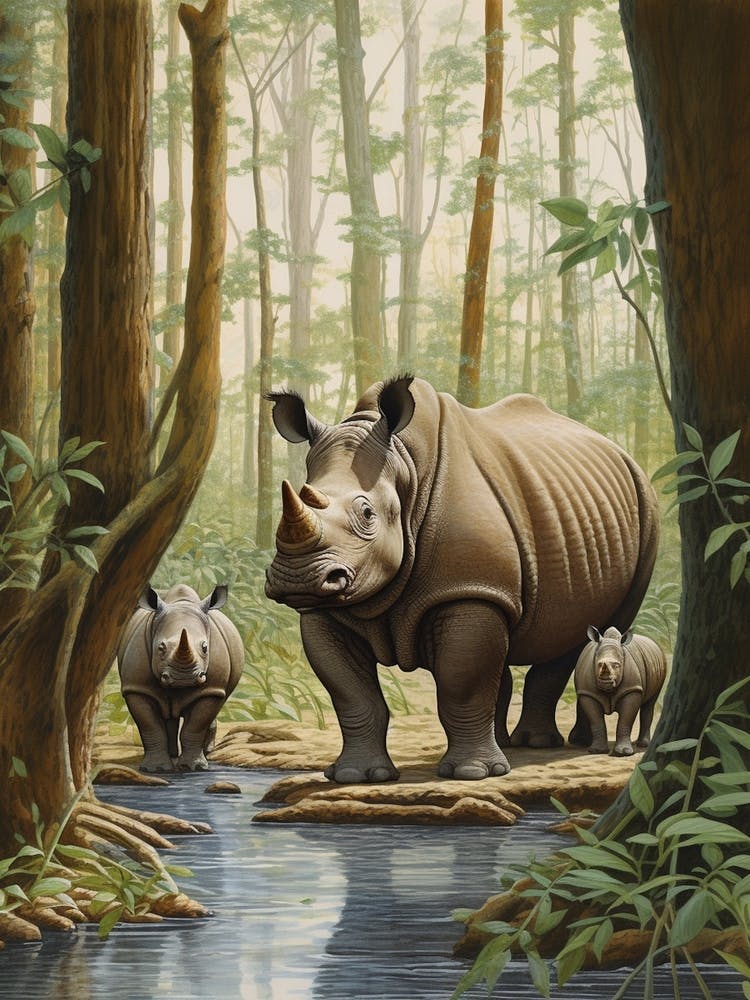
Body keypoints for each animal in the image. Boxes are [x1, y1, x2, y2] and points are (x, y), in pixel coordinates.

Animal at [117, 583, 244, 772]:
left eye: (205, 648)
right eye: (161, 648)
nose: (183, 678)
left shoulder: (211, 689)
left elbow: (195, 726)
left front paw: (195, 767)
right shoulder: (137, 687)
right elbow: (150, 726)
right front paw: (156, 769)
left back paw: (206, 753)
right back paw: (172, 756)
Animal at [574, 625, 667, 757]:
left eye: (617, 665)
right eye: (599, 664)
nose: (605, 681)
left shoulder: (632, 689)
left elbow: (625, 720)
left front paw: (623, 752)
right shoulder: (588, 693)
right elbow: (596, 720)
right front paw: (597, 751)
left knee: (649, 704)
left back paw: (643, 745)